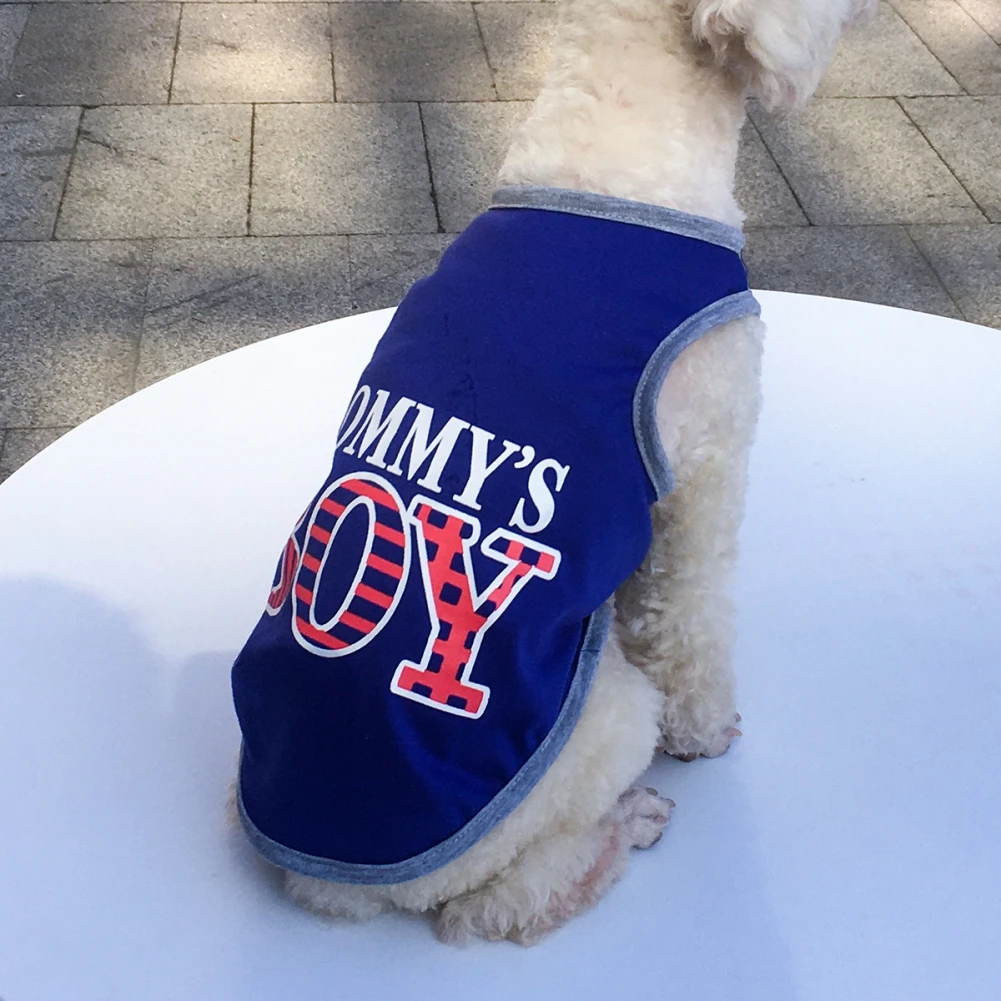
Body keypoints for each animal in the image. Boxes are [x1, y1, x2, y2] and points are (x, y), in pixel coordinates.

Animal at [230, 0, 872, 944]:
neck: (615, 144)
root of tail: (325, 885)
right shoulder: (703, 471)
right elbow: (691, 621)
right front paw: (708, 732)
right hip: (598, 726)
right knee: (496, 905)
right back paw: (625, 827)